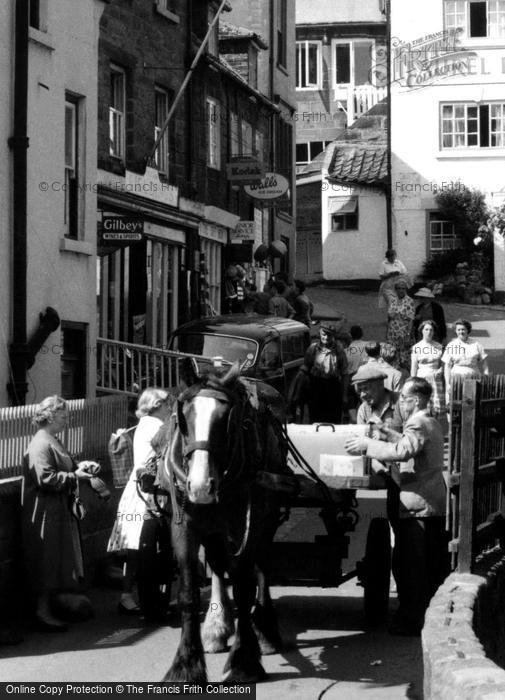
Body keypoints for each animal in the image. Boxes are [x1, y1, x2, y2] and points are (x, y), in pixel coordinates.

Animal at [156, 364, 294, 680]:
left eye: (226, 420)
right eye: (184, 418)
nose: (200, 486)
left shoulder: (247, 524)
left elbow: (244, 588)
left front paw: (244, 660)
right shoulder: (184, 526)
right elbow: (188, 594)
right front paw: (186, 664)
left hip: (266, 516)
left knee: (262, 565)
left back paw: (266, 631)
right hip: (214, 529)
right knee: (219, 566)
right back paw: (217, 625)